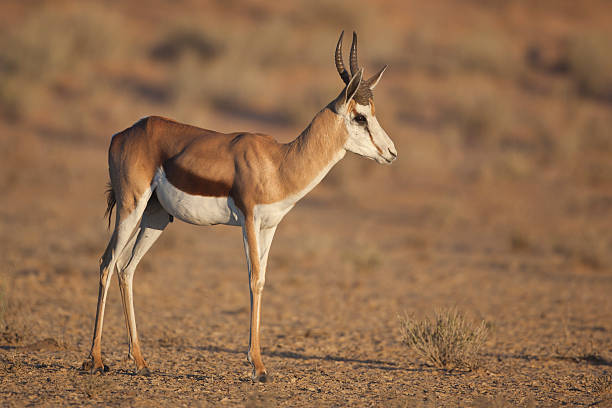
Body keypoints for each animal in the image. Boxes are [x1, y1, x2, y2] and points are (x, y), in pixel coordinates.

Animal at [81, 31, 396, 382]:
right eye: (360, 116)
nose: (391, 152)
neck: (279, 163)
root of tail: (123, 133)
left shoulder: (270, 226)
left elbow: (263, 279)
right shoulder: (249, 221)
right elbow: (254, 279)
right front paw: (258, 366)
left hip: (156, 217)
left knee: (127, 267)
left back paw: (139, 361)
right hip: (130, 206)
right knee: (107, 262)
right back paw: (96, 360)